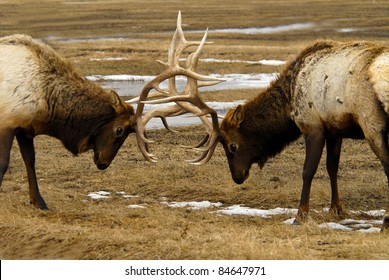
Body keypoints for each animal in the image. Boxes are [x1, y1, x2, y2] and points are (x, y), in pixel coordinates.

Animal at [0, 34, 135, 209]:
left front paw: (39, 201)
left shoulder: (25, 128)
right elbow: (3, 163)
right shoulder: (7, 124)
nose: (103, 164)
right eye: (119, 130)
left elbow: (30, 160)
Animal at [134, 12, 388, 230]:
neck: (289, 100)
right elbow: (332, 167)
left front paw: (300, 215)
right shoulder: (334, 128)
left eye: (232, 145)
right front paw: (337, 209)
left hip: (372, 123)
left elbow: (308, 170)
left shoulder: (311, 124)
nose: (237, 177)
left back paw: (385, 220)